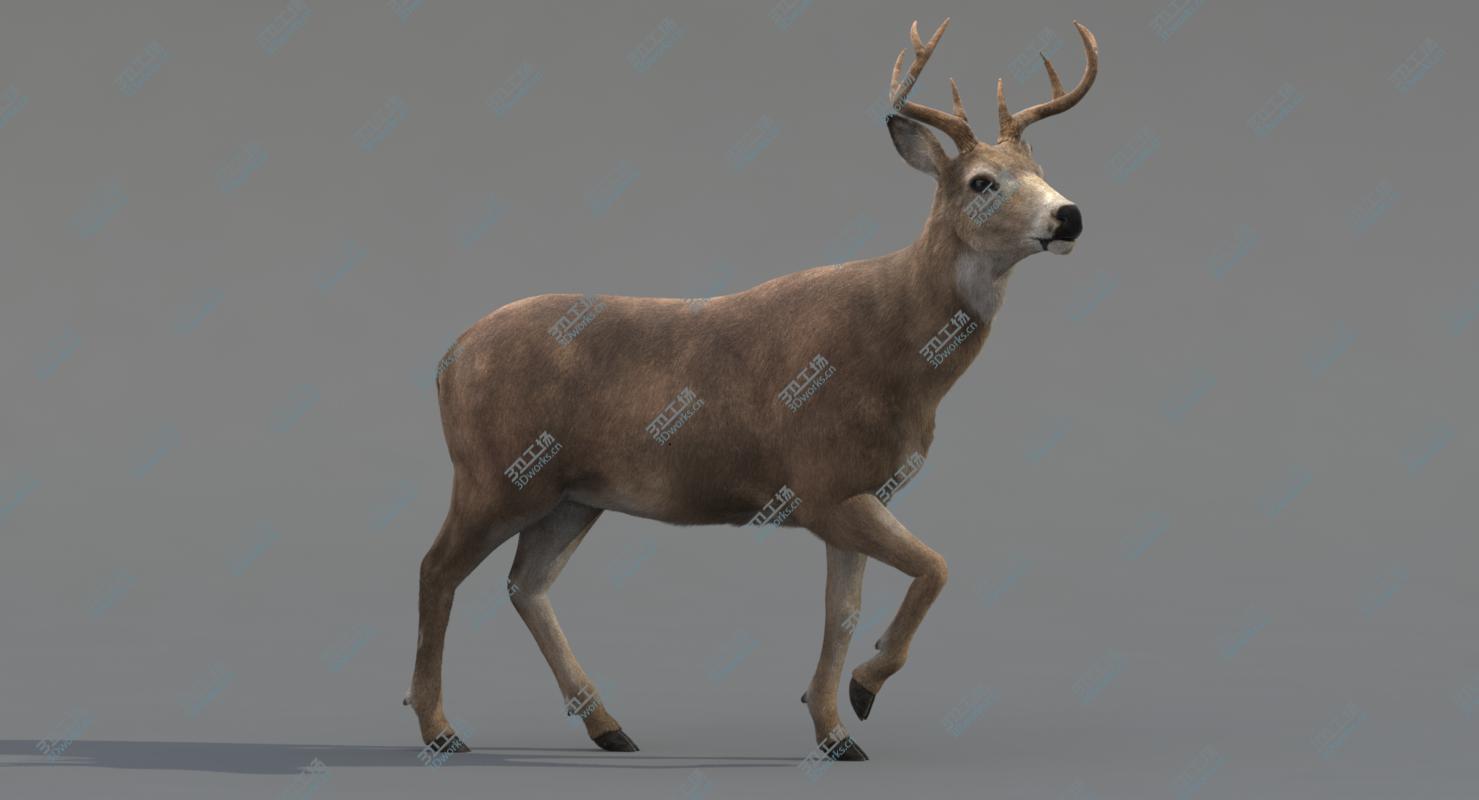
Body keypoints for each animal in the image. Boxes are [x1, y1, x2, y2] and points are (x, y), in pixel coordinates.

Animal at [405, 17, 1099, 761]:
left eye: (1039, 171)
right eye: (980, 181)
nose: (1068, 216)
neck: (899, 354)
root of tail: (446, 359)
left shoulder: (858, 493)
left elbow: (843, 611)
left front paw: (834, 729)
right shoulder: (821, 483)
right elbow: (934, 567)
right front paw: (862, 691)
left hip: (571, 494)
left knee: (524, 585)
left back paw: (609, 727)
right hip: (494, 473)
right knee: (437, 568)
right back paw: (441, 729)